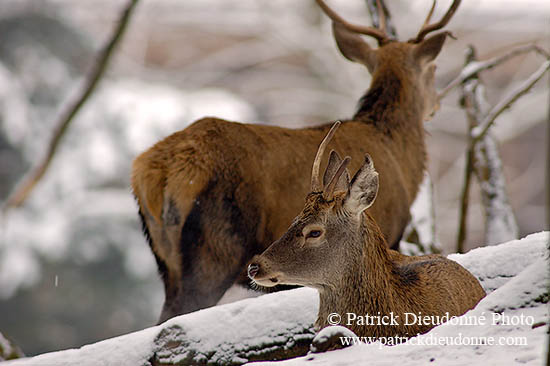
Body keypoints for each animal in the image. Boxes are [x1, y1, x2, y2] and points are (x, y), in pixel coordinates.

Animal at [133, 0, 462, 324]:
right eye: (433, 68)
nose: (436, 103)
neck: (399, 154)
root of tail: (156, 172)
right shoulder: (391, 230)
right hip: (214, 247)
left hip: (167, 261)